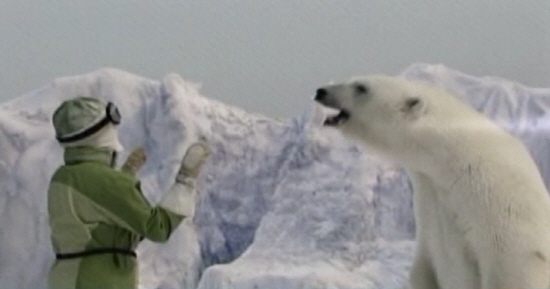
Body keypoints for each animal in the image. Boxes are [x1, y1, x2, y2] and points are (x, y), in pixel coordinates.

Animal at [316, 75, 550, 288]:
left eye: (361, 87)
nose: (321, 91)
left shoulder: (501, 211)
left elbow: (512, 270)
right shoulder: (429, 200)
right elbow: (424, 265)